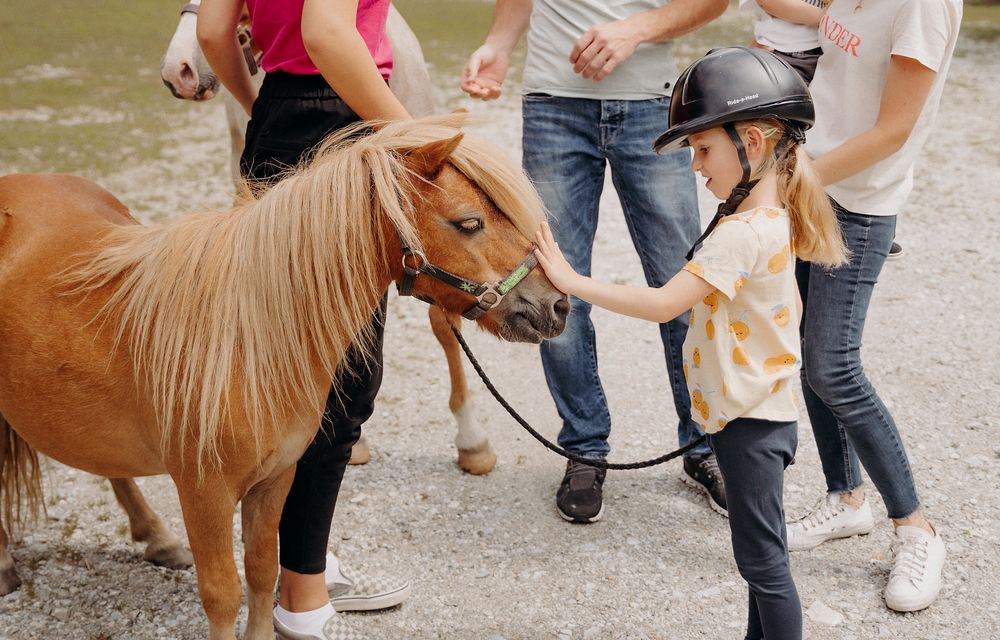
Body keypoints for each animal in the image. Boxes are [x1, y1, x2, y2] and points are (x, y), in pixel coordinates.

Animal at [0, 116, 568, 640]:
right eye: (469, 223)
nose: (556, 306)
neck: (241, 339)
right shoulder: (203, 494)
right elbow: (223, 594)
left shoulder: (275, 478)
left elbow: (260, 572)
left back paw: (156, 538)